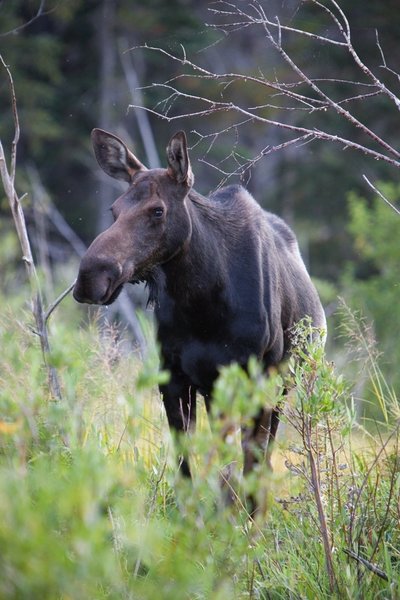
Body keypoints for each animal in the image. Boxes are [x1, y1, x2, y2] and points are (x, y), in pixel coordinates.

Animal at [73, 130, 326, 506]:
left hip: (281, 385)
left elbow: (246, 467)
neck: (204, 303)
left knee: (263, 457)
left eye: (158, 210)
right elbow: (188, 468)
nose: (91, 277)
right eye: (114, 209)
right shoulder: (175, 377)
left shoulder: (255, 379)